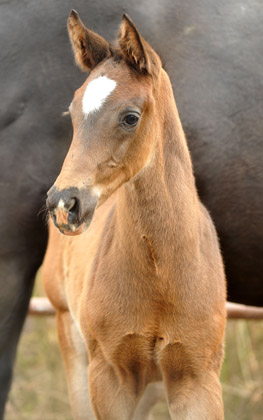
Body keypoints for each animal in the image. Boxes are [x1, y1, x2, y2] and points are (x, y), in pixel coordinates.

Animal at [43, 9, 227, 420]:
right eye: (72, 112)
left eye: (130, 117)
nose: (64, 203)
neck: (162, 275)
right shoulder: (110, 376)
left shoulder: (198, 379)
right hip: (71, 341)